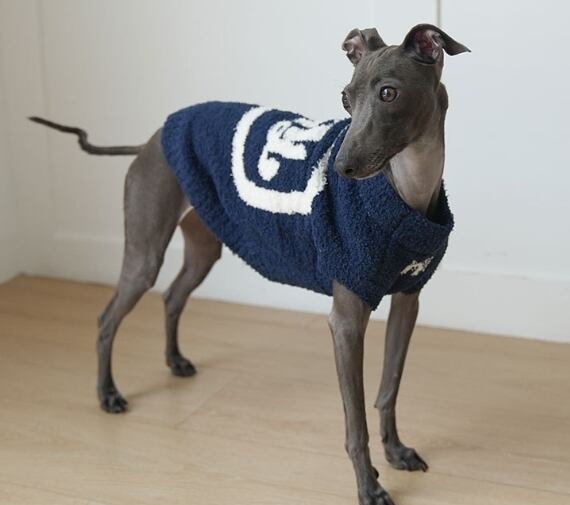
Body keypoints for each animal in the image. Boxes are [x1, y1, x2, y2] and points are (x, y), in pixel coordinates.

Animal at [30, 23, 469, 505]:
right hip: (145, 253)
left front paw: (395, 453)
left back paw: (174, 361)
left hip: (204, 243)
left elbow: (388, 389)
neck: (408, 189)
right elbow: (355, 422)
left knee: (172, 296)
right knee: (107, 318)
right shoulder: (346, 318)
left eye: (388, 93)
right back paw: (107, 394)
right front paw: (368, 486)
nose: (340, 168)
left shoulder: (407, 300)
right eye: (345, 98)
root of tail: (151, 138)